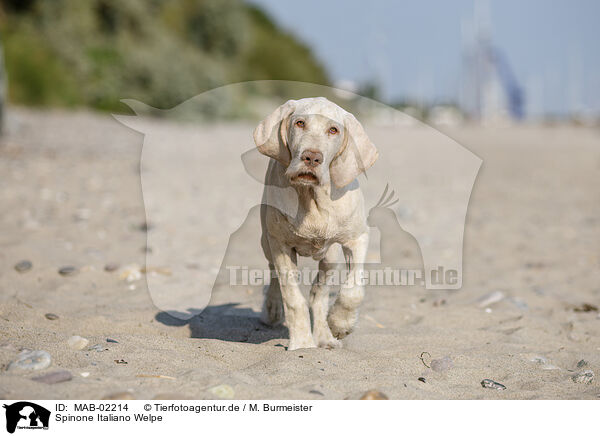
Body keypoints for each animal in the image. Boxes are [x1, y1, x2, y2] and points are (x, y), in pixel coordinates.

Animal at [254, 97, 378, 350]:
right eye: (300, 123)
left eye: (333, 130)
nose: (312, 157)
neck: (311, 197)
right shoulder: (280, 244)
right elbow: (293, 297)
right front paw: (302, 343)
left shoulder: (357, 238)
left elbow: (353, 291)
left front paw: (340, 324)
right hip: (266, 242)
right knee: (275, 275)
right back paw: (272, 308)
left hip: (330, 257)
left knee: (318, 292)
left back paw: (325, 336)